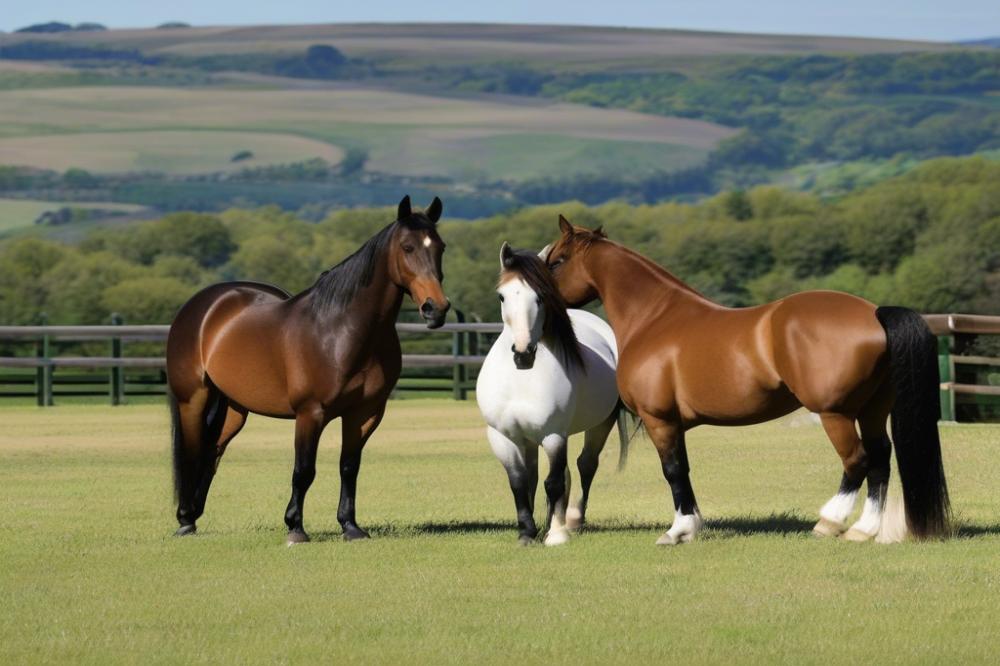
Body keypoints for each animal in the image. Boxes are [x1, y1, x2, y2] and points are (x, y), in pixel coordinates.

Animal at [168, 195, 450, 544]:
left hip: (235, 407)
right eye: (407, 247)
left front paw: (350, 526)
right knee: (192, 450)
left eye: (440, 247)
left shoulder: (365, 413)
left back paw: (194, 515)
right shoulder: (310, 412)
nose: (436, 308)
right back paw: (185, 520)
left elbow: (349, 466)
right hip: (192, 398)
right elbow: (304, 470)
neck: (341, 330)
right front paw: (295, 528)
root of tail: (202, 305)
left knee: (212, 450)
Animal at [472, 241, 620, 544]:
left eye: (540, 296)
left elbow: (553, 482)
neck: (520, 380)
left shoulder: (553, 435)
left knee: (586, 465)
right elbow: (520, 482)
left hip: (600, 423)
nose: (523, 354)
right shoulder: (504, 437)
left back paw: (572, 520)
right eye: (502, 296)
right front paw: (527, 533)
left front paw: (556, 534)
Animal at [544, 218, 948, 544]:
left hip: (835, 413)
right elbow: (684, 472)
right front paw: (692, 526)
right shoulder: (675, 424)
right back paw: (863, 530)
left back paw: (829, 522)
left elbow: (672, 472)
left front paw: (677, 531)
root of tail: (874, 313)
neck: (654, 318)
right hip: (872, 410)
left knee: (857, 461)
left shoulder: (660, 420)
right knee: (880, 459)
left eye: (557, 261)